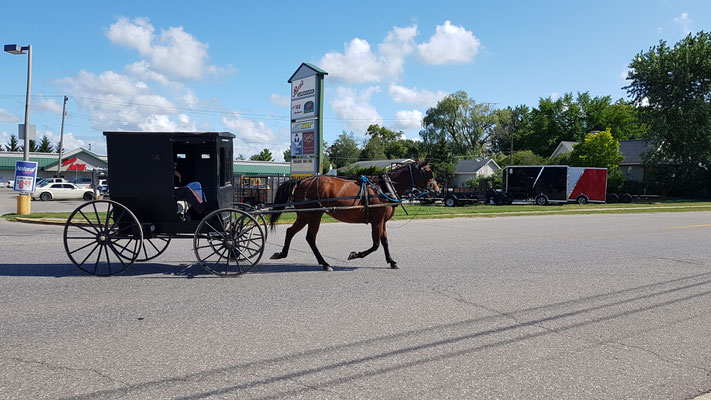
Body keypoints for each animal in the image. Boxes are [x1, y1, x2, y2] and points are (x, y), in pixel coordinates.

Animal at [268, 161, 436, 270]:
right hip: (314, 215)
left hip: (304, 216)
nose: (436, 188)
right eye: (426, 171)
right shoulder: (377, 221)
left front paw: (391, 261)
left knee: (291, 231)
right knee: (310, 238)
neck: (384, 187)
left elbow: (385, 242)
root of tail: (301, 181)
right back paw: (325, 263)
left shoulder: (382, 221)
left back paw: (282, 254)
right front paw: (355, 254)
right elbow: (376, 244)